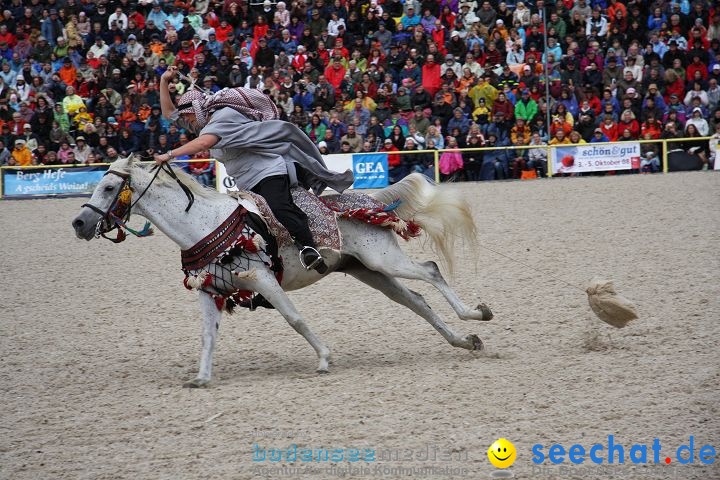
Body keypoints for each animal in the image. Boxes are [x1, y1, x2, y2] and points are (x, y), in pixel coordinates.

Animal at [73, 158, 492, 386]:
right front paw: (201, 378)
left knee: (431, 271)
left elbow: (296, 319)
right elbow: (208, 338)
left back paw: (477, 313)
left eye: (108, 187)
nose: (79, 223)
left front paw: (323, 358)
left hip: (385, 261)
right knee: (416, 301)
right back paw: (464, 341)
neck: (204, 224)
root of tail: (368, 202)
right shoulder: (210, 292)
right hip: (371, 272)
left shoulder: (262, 280)